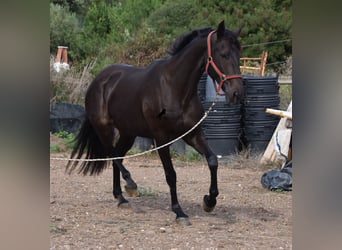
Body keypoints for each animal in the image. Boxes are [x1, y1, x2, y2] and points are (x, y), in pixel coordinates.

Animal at [66, 21, 243, 225]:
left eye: (239, 54)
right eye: (223, 54)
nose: (237, 93)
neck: (174, 88)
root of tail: (98, 80)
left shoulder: (193, 135)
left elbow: (213, 161)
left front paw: (209, 201)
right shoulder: (161, 139)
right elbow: (171, 175)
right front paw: (179, 212)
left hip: (128, 133)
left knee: (118, 156)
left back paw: (121, 197)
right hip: (105, 128)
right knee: (113, 155)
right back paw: (131, 185)